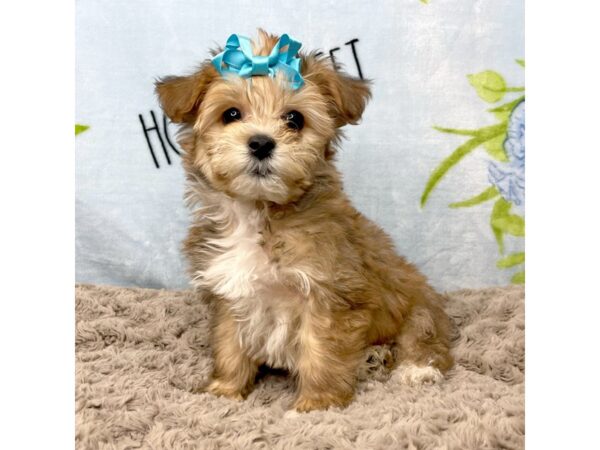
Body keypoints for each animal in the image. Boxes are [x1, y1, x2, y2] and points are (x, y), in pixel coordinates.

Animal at [157, 29, 452, 414]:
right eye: (231, 114)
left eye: (294, 119)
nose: (261, 143)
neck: (260, 213)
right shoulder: (229, 294)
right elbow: (230, 345)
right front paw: (225, 391)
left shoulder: (330, 297)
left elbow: (321, 353)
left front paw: (317, 404)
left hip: (418, 308)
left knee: (424, 340)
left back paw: (415, 369)